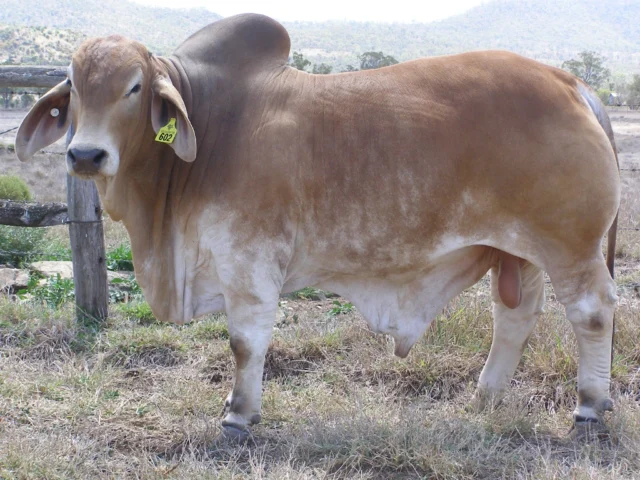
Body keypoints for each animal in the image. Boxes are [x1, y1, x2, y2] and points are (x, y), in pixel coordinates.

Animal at [15, 14, 620, 439]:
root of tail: (572, 82)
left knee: (591, 313)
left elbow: (245, 341)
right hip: (520, 249)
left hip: (571, 246)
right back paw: (485, 397)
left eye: (135, 86)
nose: (86, 155)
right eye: (72, 85)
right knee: (515, 316)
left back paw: (589, 408)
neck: (211, 126)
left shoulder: (249, 260)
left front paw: (239, 416)